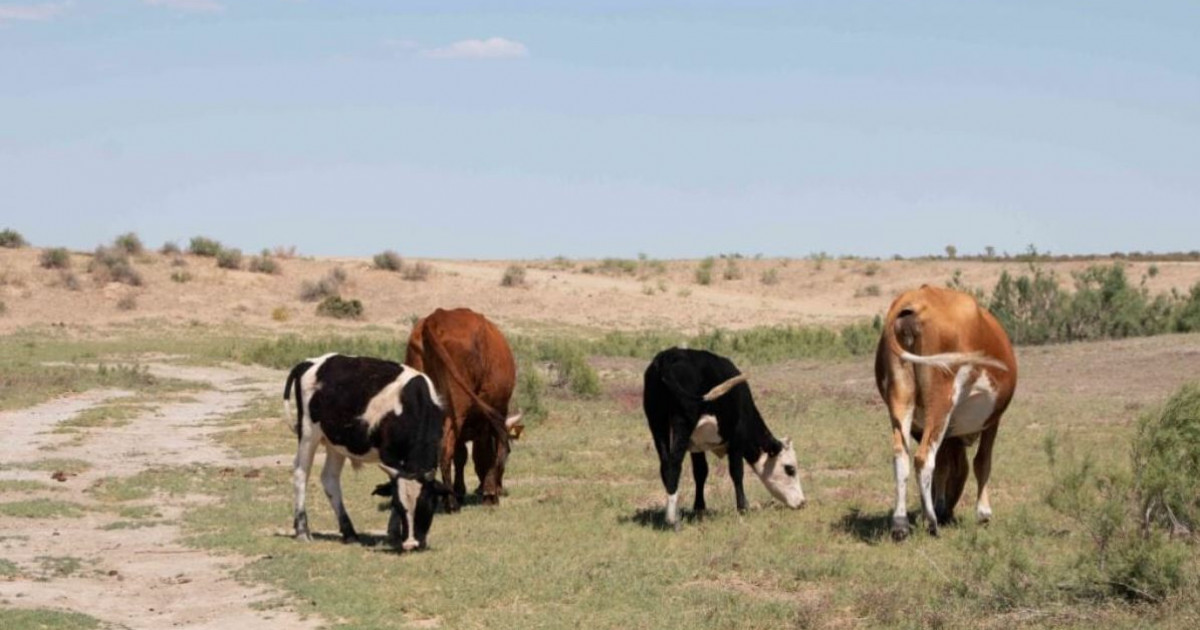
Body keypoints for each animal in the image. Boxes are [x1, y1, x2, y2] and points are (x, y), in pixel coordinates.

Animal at [283, 352, 448, 549]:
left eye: (427, 505)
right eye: (400, 506)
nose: (411, 543)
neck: (412, 403)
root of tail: (310, 362)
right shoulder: (389, 456)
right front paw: (394, 532)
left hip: (335, 443)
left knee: (329, 478)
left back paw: (349, 532)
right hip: (309, 433)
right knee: (301, 473)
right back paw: (302, 530)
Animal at [405, 307, 523, 508]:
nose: (500, 488)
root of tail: (435, 318)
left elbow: (461, 455)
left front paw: (461, 490)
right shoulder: (491, 419)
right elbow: (485, 453)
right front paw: (489, 493)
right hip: (457, 411)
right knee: (445, 449)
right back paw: (451, 503)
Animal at [643, 345, 801, 528]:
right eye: (790, 469)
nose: (802, 502)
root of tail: (668, 357)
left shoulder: (697, 445)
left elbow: (701, 472)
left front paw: (699, 509)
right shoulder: (737, 440)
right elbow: (737, 472)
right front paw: (743, 508)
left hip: (656, 421)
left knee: (665, 465)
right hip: (682, 422)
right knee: (674, 464)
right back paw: (672, 519)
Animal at [878, 286, 1017, 537]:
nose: (948, 513)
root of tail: (913, 302)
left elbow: (942, 467)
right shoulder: (992, 421)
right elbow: (982, 462)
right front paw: (983, 512)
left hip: (900, 402)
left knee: (901, 456)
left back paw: (900, 523)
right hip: (941, 402)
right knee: (923, 458)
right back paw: (932, 522)